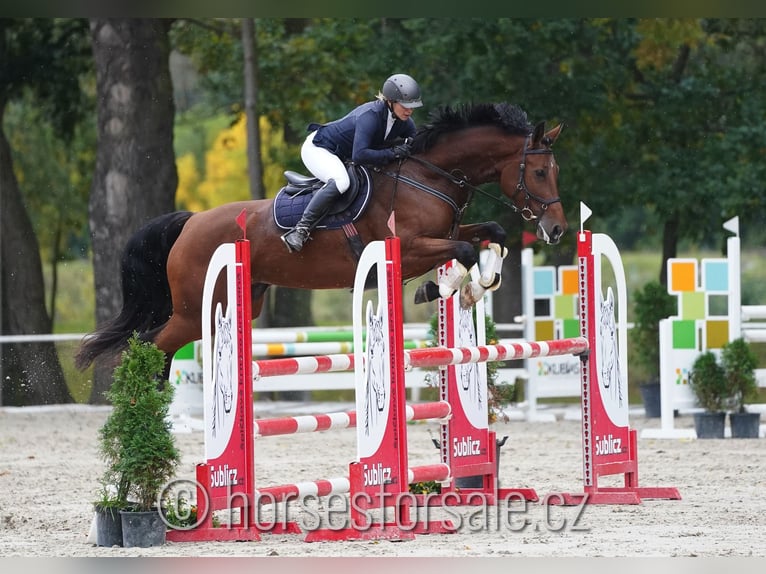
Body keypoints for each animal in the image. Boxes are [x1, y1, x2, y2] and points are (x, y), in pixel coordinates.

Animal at [76, 103, 568, 376]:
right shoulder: (408, 249)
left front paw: (476, 286)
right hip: (192, 308)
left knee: (153, 344)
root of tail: (191, 221)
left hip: (233, 304)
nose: (558, 228)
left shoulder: (445, 233)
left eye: (553, 171)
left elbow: (492, 234)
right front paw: (442, 288)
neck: (430, 176)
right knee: (149, 346)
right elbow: (463, 250)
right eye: (539, 172)